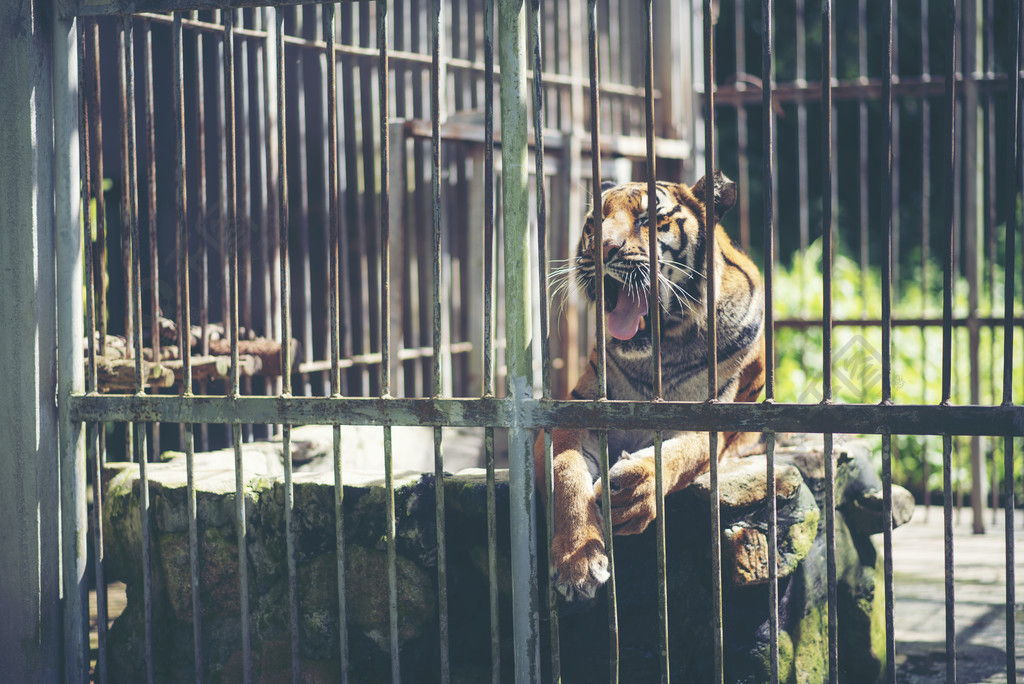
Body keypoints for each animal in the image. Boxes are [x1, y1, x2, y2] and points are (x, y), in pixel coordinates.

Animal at [540, 169, 765, 597]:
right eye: (594, 224)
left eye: (649, 219)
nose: (602, 249)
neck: (658, 356)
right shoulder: (580, 408)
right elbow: (565, 471)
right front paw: (577, 559)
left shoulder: (714, 421)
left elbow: (680, 454)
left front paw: (634, 492)